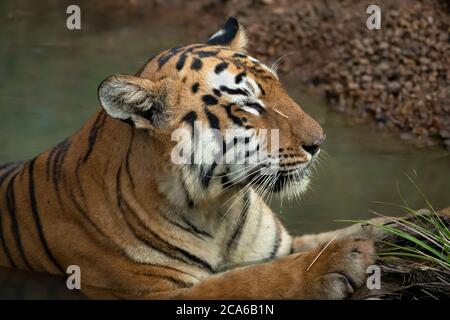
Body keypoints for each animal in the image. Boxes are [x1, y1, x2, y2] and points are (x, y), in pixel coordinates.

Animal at [0, 17, 382, 300]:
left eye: (280, 87)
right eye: (248, 105)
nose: (319, 141)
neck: (219, 209)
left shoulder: (282, 245)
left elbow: (350, 229)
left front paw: (386, 226)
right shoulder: (156, 292)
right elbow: (249, 280)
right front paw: (338, 258)